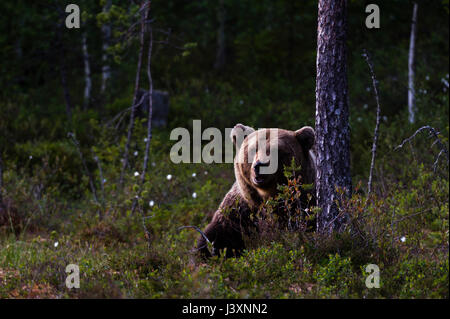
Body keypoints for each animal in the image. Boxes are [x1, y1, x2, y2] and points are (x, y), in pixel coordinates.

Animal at [197, 124, 316, 258]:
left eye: (278, 151)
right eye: (254, 149)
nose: (260, 165)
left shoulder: (304, 206)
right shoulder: (239, 214)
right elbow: (217, 237)